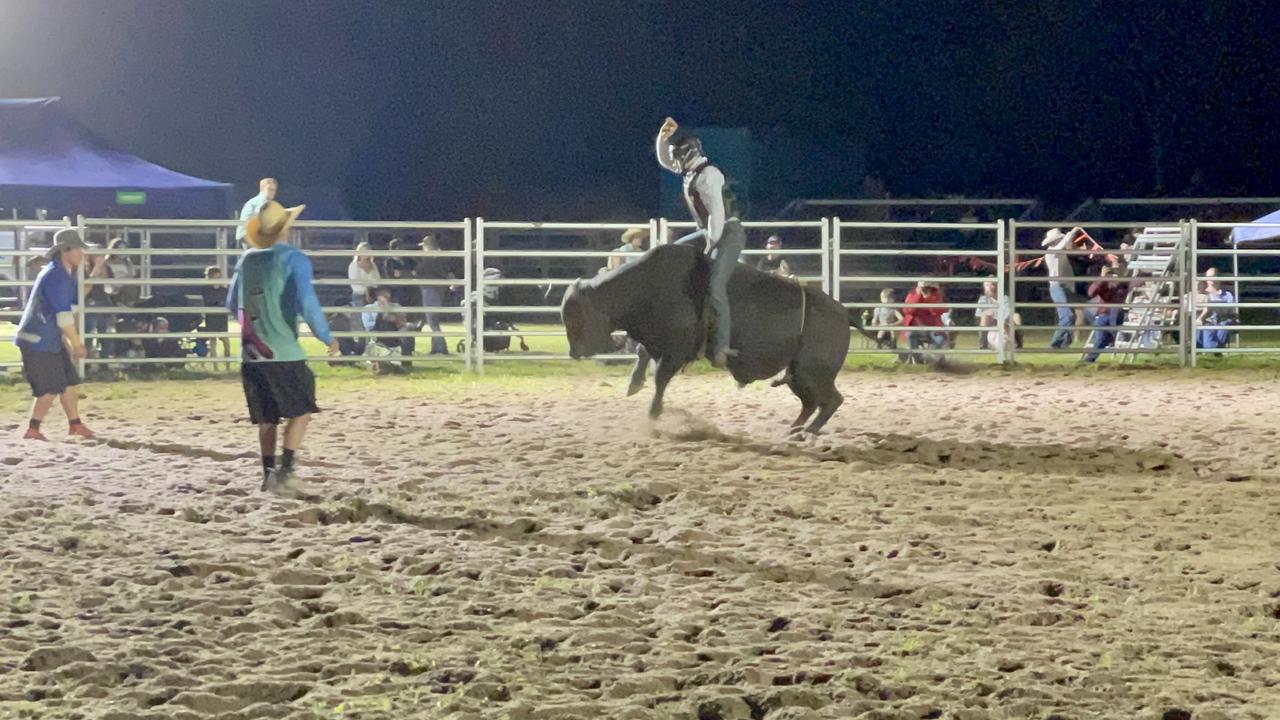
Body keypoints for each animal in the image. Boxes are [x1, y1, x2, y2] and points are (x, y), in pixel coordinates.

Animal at [560, 243, 870, 430]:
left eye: (576, 317)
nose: (573, 352)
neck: (645, 286)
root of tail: (843, 312)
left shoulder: (677, 348)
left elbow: (660, 377)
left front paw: (653, 412)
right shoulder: (658, 340)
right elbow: (642, 353)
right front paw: (634, 384)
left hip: (813, 370)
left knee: (831, 400)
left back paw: (807, 432)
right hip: (797, 373)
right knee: (812, 402)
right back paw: (795, 430)